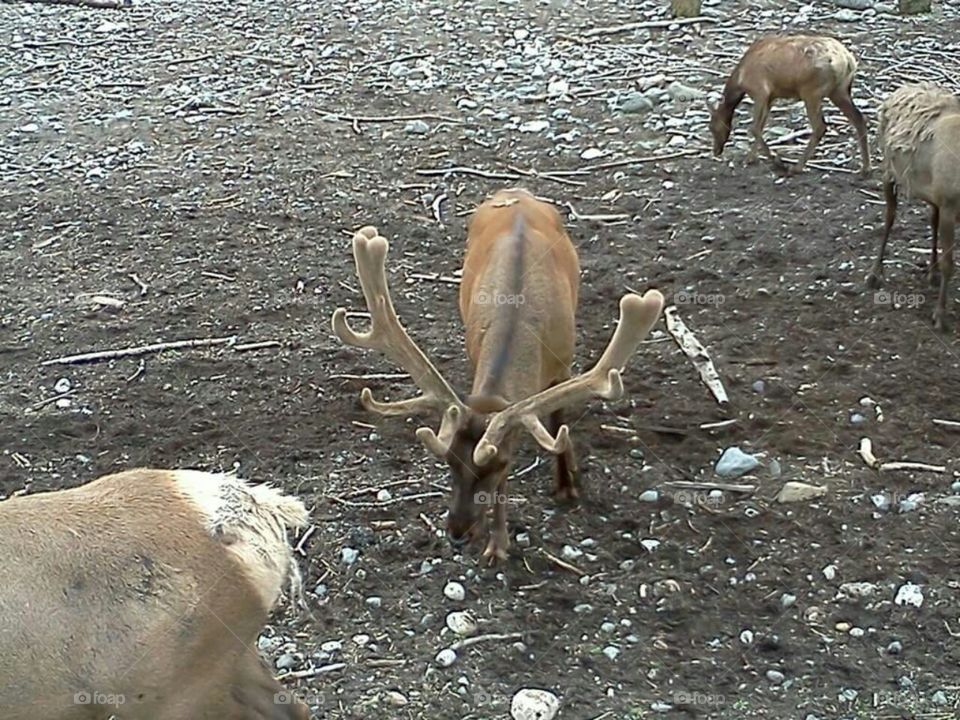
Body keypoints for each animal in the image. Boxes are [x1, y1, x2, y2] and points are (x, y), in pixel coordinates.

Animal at [334, 188, 664, 564]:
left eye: (501, 464)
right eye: (449, 462)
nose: (457, 533)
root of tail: (516, 192)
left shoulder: (563, 363)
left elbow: (557, 422)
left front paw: (567, 487)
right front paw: (497, 543)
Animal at [704, 34, 872, 178]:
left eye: (711, 127)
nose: (716, 151)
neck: (740, 81)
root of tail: (848, 61)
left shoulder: (760, 92)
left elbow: (754, 128)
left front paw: (777, 162)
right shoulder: (770, 98)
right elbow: (760, 126)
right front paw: (750, 158)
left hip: (811, 93)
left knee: (820, 126)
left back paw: (796, 167)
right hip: (839, 91)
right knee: (859, 118)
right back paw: (865, 168)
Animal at [868, 82, 960, 332]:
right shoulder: (949, 203)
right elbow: (949, 264)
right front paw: (940, 316)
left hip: (931, 190)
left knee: (932, 220)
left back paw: (932, 272)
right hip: (888, 169)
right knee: (889, 216)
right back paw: (874, 274)